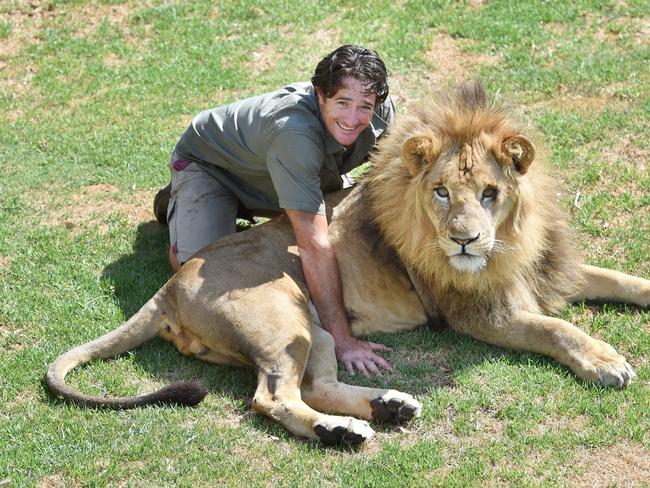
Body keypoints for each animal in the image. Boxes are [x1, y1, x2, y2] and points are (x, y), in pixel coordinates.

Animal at [45, 82, 644, 444]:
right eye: (443, 193)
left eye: (490, 193)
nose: (465, 242)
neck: (512, 242)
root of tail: (171, 284)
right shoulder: (481, 313)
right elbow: (556, 328)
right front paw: (606, 362)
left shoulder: (547, 271)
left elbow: (623, 279)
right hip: (284, 320)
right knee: (273, 397)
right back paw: (342, 433)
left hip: (316, 329)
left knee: (314, 386)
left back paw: (389, 407)